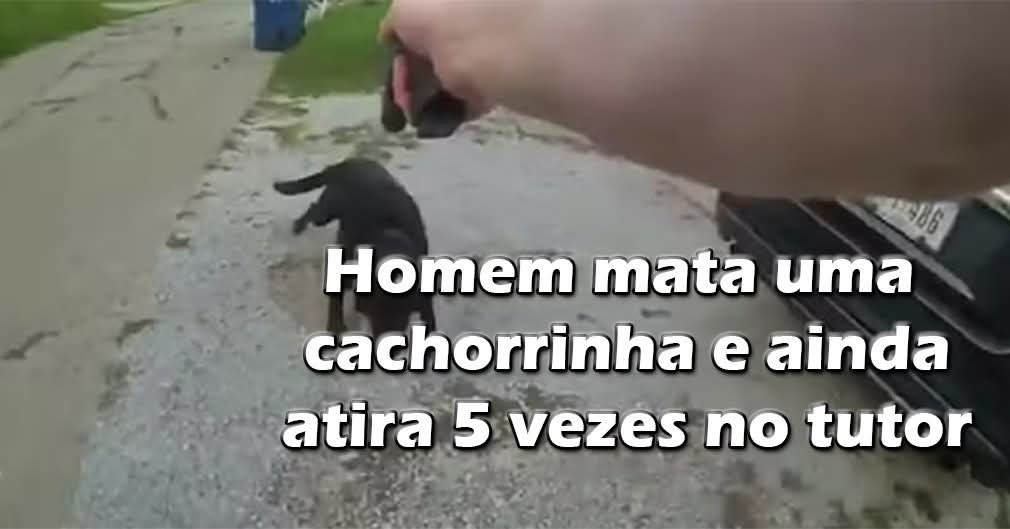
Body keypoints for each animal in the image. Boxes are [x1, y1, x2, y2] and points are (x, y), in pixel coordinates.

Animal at [273, 157, 436, 337]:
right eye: (376, 311)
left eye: (403, 313)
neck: (390, 233)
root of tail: (348, 162)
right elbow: (336, 300)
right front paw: (335, 326)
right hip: (326, 212)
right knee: (313, 208)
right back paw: (298, 225)